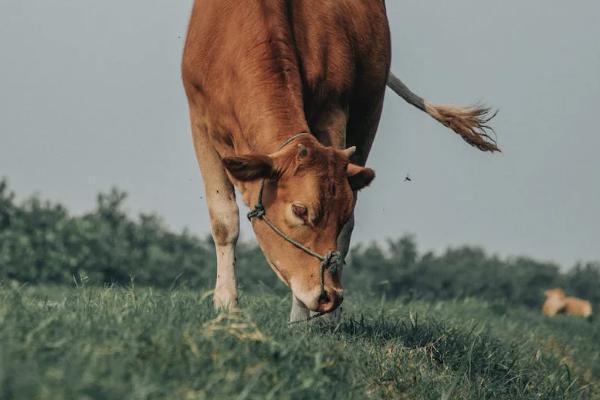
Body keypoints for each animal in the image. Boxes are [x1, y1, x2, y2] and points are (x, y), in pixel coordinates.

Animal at [182, 0, 496, 322]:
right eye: (299, 210)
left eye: (340, 212)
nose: (328, 296)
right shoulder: (200, 122)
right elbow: (224, 220)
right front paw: (226, 305)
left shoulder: (333, 108)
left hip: (369, 113)